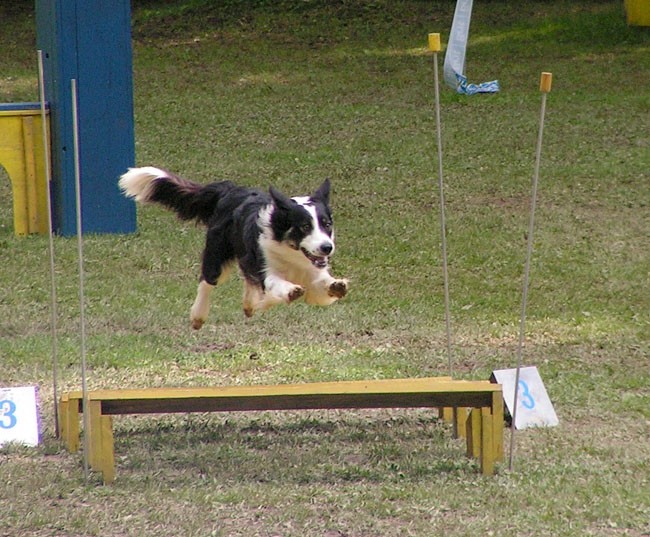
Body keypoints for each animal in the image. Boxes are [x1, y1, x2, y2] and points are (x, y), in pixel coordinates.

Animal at [118, 166, 346, 326]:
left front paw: (336, 285)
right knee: (207, 281)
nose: (327, 247)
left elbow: (322, 284)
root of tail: (230, 190)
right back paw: (198, 315)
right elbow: (274, 283)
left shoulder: (312, 272)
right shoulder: (264, 268)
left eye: (327, 224)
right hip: (217, 254)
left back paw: (250, 306)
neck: (291, 252)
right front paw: (290, 291)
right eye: (305, 226)